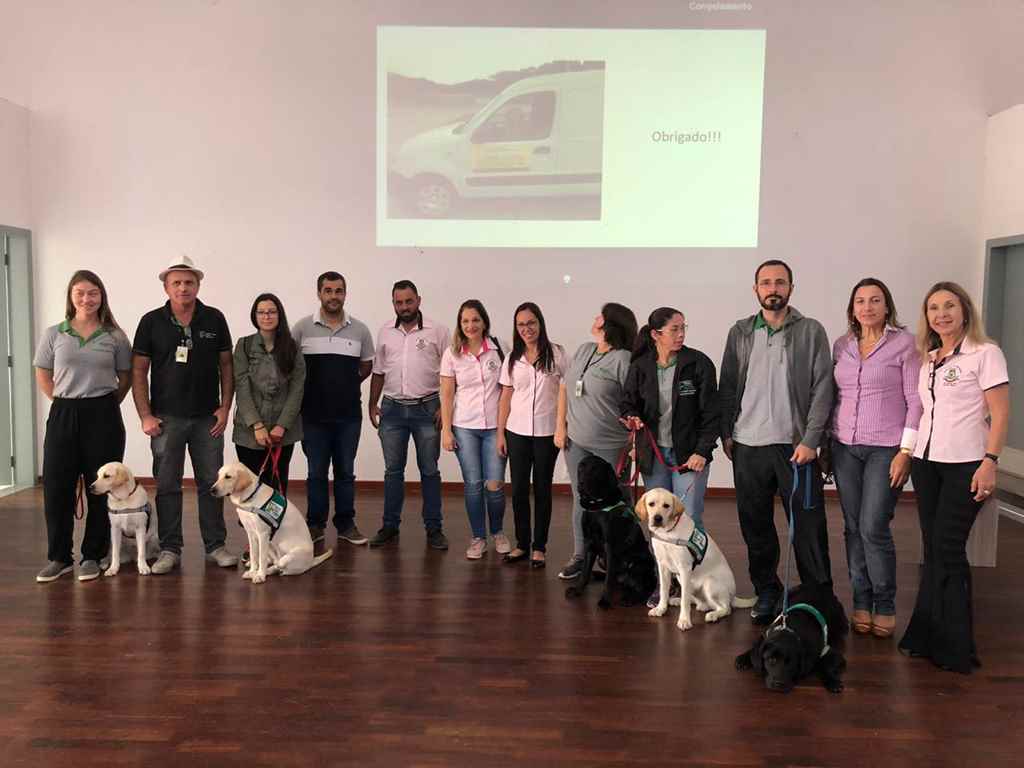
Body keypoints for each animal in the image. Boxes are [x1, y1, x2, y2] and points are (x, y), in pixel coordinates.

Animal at [561, 454, 655, 610]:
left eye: (595, 469)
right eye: (581, 467)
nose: (581, 483)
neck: (596, 506)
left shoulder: (609, 546)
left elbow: (608, 580)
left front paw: (604, 600)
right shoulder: (589, 543)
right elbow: (585, 571)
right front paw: (578, 590)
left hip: (638, 564)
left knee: (643, 589)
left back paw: (630, 598)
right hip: (602, 560)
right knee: (617, 581)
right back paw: (598, 575)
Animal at [634, 489, 757, 634]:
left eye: (666, 505)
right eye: (651, 504)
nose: (657, 518)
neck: (667, 533)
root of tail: (733, 596)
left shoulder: (685, 568)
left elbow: (685, 601)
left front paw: (684, 620)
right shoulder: (663, 566)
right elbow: (664, 591)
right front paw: (661, 608)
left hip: (709, 583)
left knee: (725, 609)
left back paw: (713, 615)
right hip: (683, 579)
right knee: (699, 602)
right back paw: (677, 600)